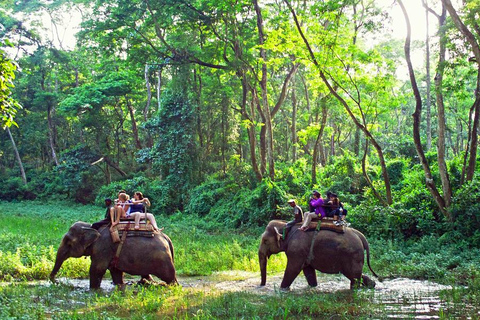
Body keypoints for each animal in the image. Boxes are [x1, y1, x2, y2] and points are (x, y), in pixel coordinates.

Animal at [49, 221, 177, 288]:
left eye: (68, 242)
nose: (57, 281)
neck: (91, 228)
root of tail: (167, 238)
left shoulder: (103, 248)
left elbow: (97, 269)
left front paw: (93, 290)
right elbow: (115, 271)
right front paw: (119, 285)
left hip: (163, 260)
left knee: (170, 277)